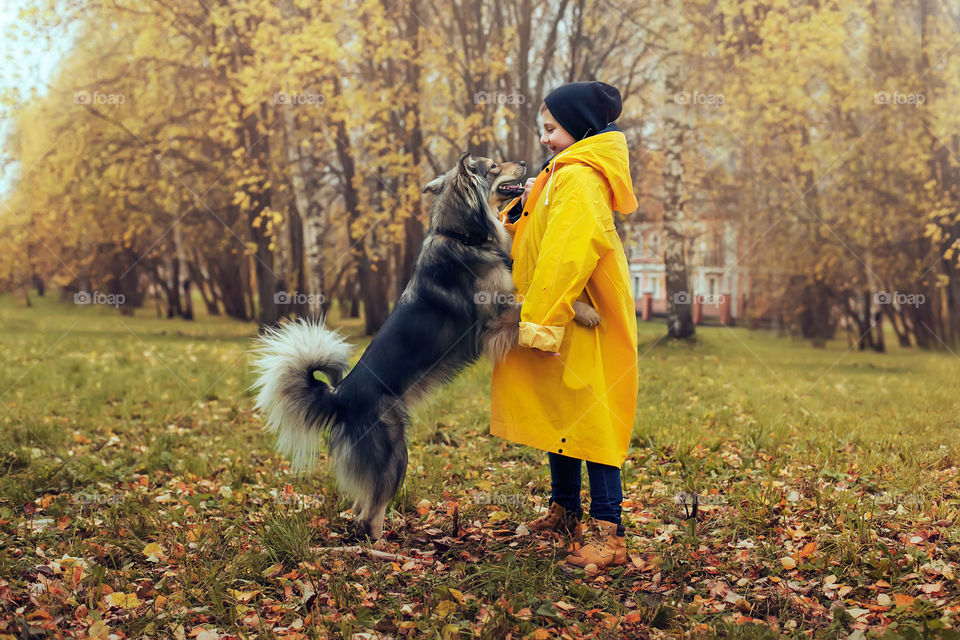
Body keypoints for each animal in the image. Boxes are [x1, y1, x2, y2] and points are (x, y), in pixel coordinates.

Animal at [251, 154, 604, 540]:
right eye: (494, 166)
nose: (526, 162)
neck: (462, 235)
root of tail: (340, 395)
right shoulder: (495, 317)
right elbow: (536, 307)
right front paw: (586, 312)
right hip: (394, 451)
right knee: (370, 515)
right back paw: (384, 545)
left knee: (361, 506)